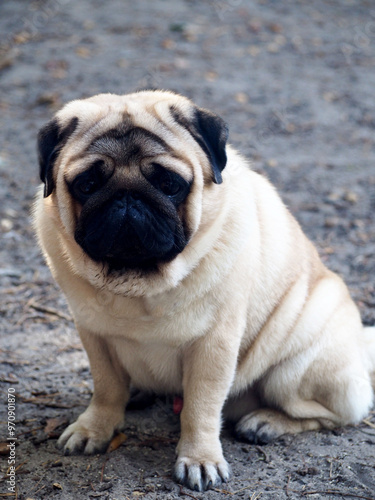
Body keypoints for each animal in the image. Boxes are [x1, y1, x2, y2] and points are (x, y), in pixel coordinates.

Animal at [33, 91, 374, 492]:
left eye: (169, 183)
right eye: (87, 184)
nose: (127, 198)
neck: (140, 284)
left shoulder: (214, 345)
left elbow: (201, 407)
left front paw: (199, 459)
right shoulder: (94, 336)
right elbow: (106, 388)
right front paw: (95, 428)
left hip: (295, 369)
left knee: (332, 413)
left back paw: (266, 422)